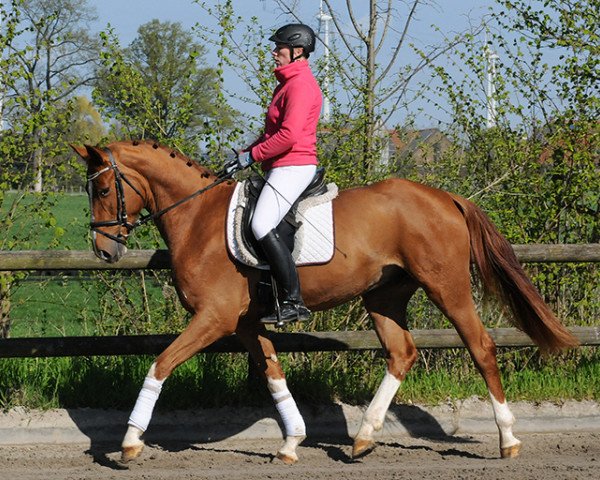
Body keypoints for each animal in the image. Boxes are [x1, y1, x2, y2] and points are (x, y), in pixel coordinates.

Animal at [72, 140, 580, 464]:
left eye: (103, 189)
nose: (104, 252)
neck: (197, 217)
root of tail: (445, 198)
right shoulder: (244, 323)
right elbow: (273, 374)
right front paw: (291, 442)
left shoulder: (214, 318)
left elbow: (159, 364)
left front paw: (129, 443)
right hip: (384, 296)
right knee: (402, 353)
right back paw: (363, 438)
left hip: (447, 287)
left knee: (481, 347)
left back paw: (508, 440)